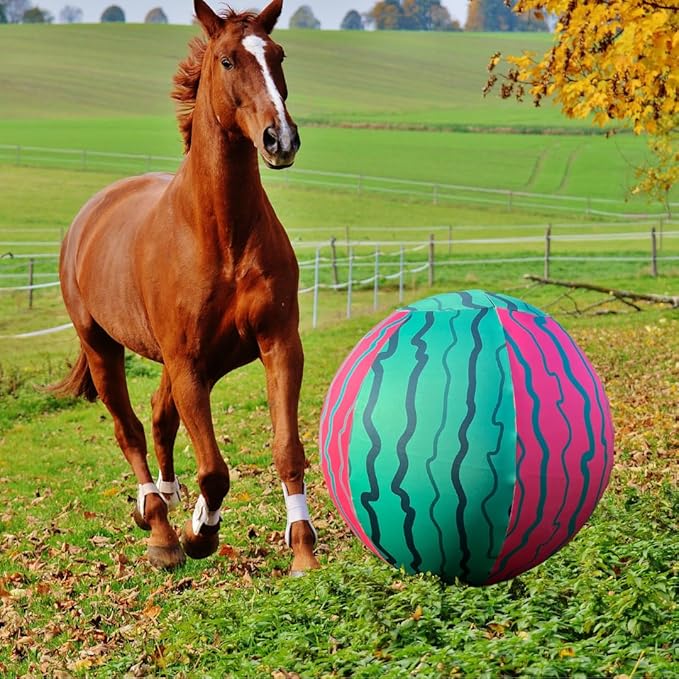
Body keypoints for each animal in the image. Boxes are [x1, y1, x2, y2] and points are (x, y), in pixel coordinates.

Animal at [51, 0, 319, 575]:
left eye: (279, 55)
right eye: (226, 60)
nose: (280, 139)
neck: (221, 235)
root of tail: (89, 215)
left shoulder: (278, 345)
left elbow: (287, 449)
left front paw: (304, 551)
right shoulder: (188, 362)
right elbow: (214, 470)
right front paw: (200, 533)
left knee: (158, 415)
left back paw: (167, 502)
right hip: (103, 347)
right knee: (129, 428)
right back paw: (158, 527)